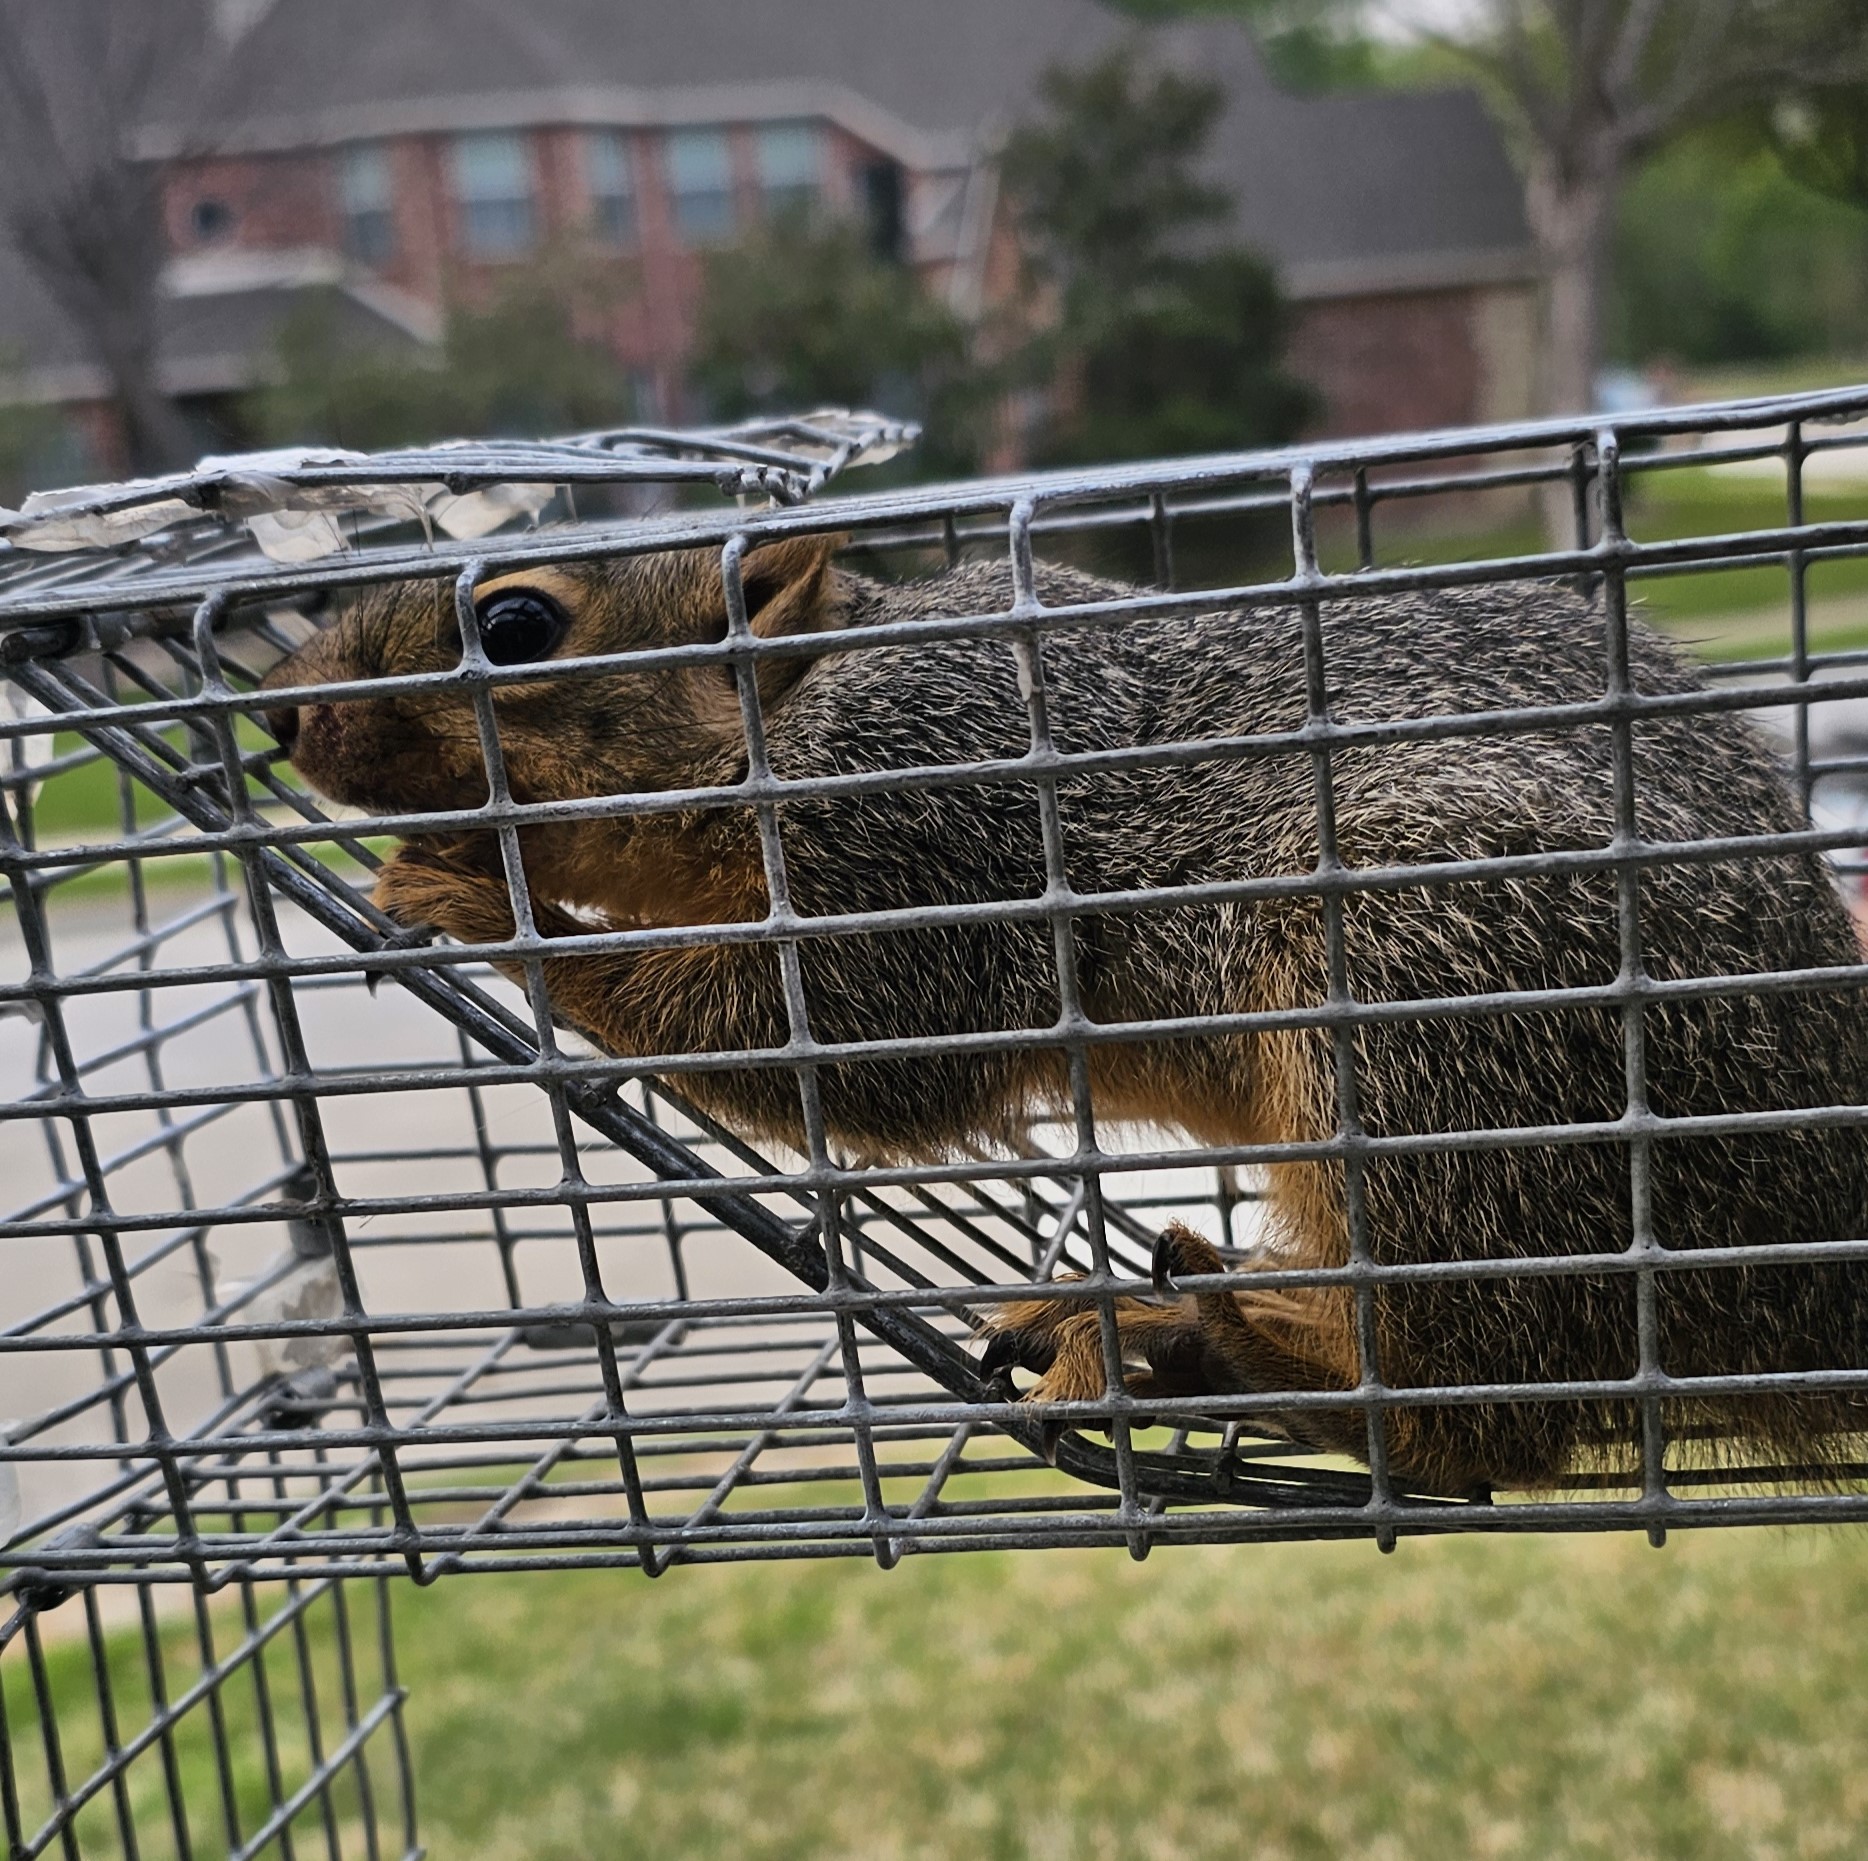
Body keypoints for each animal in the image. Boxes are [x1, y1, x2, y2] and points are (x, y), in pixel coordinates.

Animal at [259, 535, 1868, 1495]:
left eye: (516, 622)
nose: (277, 710)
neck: (806, 710)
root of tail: (1804, 1258)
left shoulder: (920, 838)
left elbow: (833, 1045)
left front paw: (479, 899)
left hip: (1434, 1012)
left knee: (1488, 1418)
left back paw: (1208, 1339)